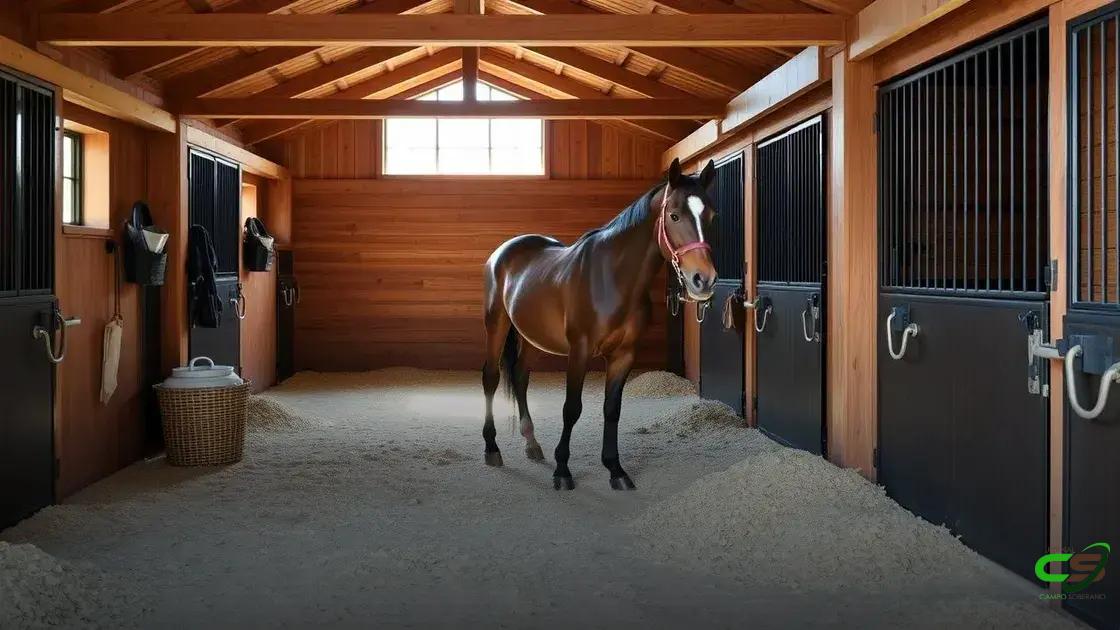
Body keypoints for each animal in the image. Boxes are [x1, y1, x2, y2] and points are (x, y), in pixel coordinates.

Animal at [480, 157, 719, 490]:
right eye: (673, 215)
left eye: (710, 215)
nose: (703, 280)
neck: (611, 278)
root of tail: (503, 252)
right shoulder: (579, 350)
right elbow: (571, 409)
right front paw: (562, 470)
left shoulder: (623, 354)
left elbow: (612, 409)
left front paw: (615, 469)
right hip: (496, 324)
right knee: (490, 377)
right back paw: (492, 448)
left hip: (531, 336)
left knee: (520, 376)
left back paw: (532, 444)